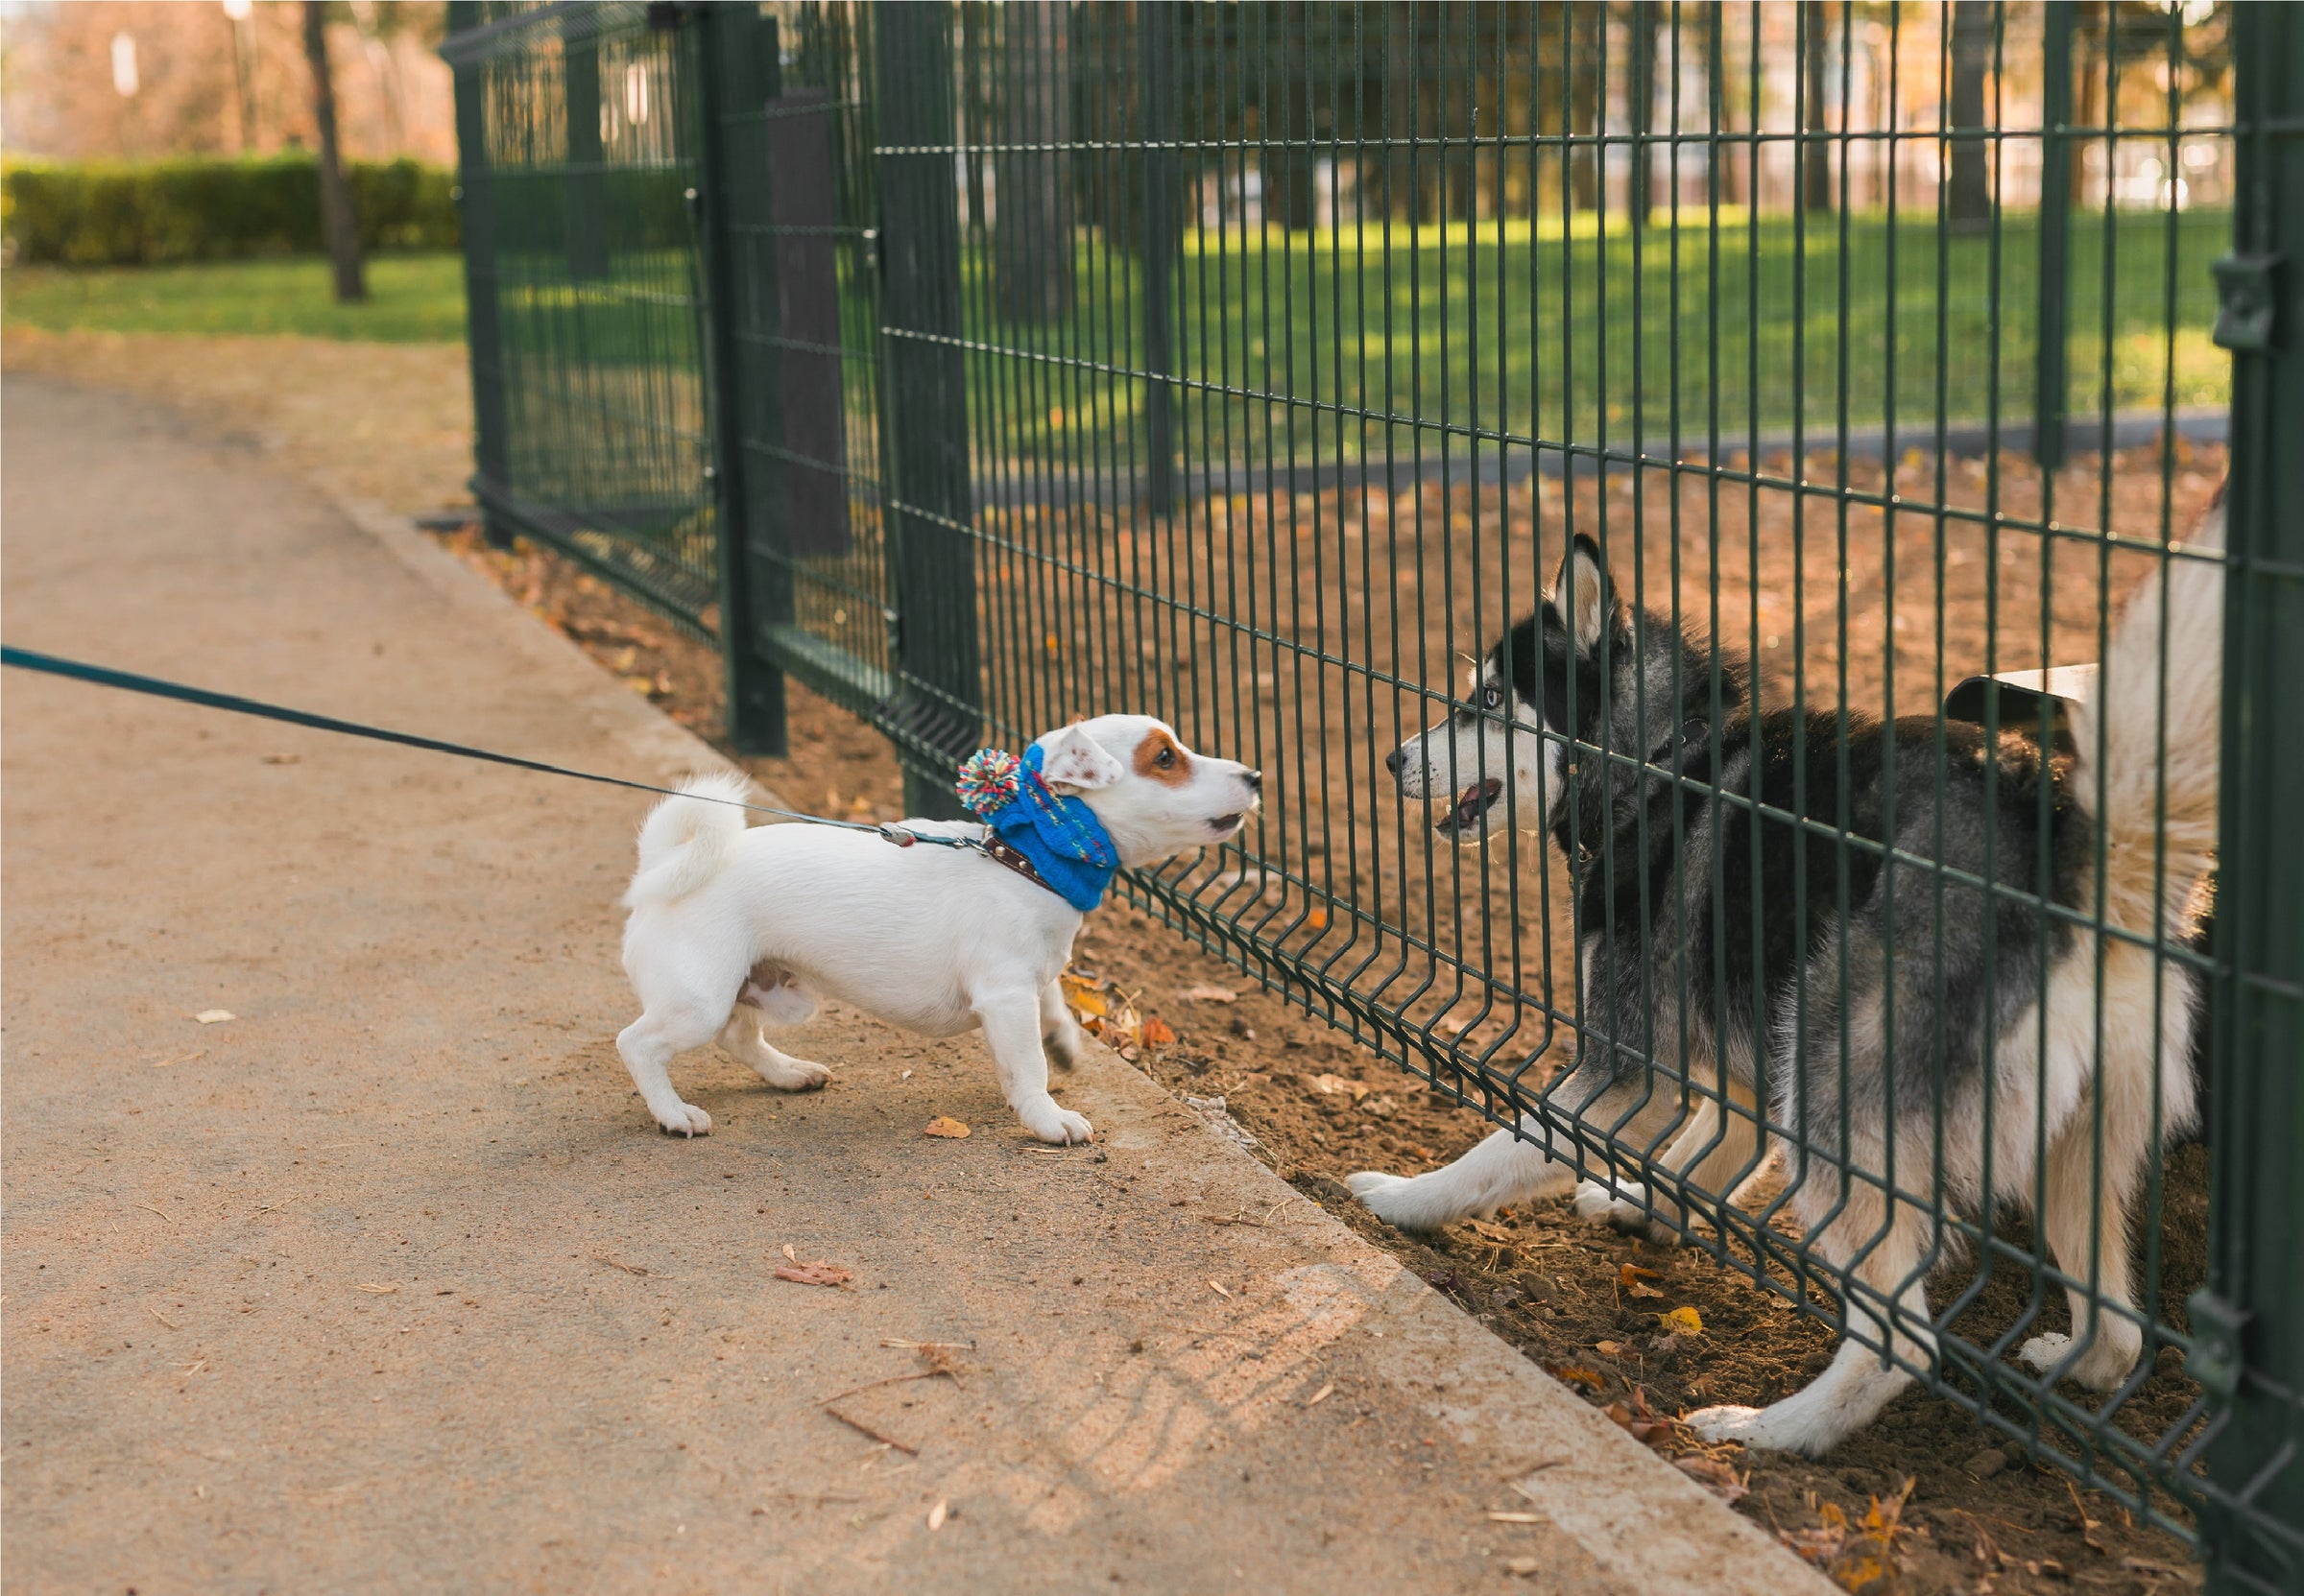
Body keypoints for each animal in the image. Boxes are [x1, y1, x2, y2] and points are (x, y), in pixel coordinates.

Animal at [612, 713, 1262, 1137]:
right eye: (1164, 758)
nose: (1256, 776)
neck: (1029, 858)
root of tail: (660, 869)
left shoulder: (1028, 983)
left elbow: (1051, 1010)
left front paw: (1063, 1042)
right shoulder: (1005, 996)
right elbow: (1029, 1067)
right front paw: (1048, 1119)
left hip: (754, 986)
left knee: (740, 1038)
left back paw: (789, 1074)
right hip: (699, 999)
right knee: (638, 1044)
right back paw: (673, 1114)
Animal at [1345, 513, 2212, 1455]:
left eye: (1494, 701)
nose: (1390, 759)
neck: (1661, 754)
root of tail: (2068, 842)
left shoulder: (1627, 1070)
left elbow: (1502, 1147)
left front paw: (1404, 1199)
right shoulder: (1742, 1074)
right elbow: (1703, 1155)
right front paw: (1642, 1206)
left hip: (1833, 1086)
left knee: (1905, 1345)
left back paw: (1773, 1429)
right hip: (2072, 1150)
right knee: (2121, 1332)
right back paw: (2071, 1362)